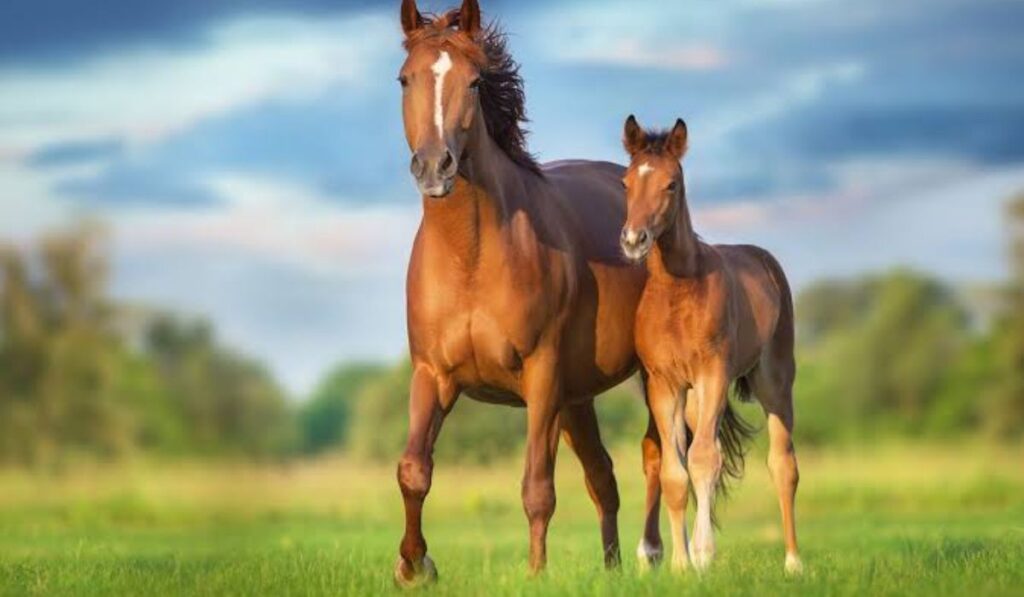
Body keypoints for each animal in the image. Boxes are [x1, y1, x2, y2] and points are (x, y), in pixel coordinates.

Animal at [394, 0, 661, 584]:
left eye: (474, 82)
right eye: (405, 79)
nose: (435, 167)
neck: (470, 258)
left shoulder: (541, 378)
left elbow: (537, 488)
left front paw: (536, 574)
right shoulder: (432, 375)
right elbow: (414, 471)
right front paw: (414, 566)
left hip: (650, 380)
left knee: (662, 456)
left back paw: (657, 555)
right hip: (578, 398)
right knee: (604, 478)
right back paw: (612, 569)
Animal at [618, 115, 803, 574]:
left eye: (671, 184)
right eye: (626, 182)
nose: (633, 240)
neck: (677, 290)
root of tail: (765, 260)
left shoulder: (712, 374)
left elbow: (702, 460)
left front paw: (703, 555)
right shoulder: (664, 385)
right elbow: (676, 472)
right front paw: (682, 565)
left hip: (773, 382)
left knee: (782, 464)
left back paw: (794, 562)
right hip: (698, 400)